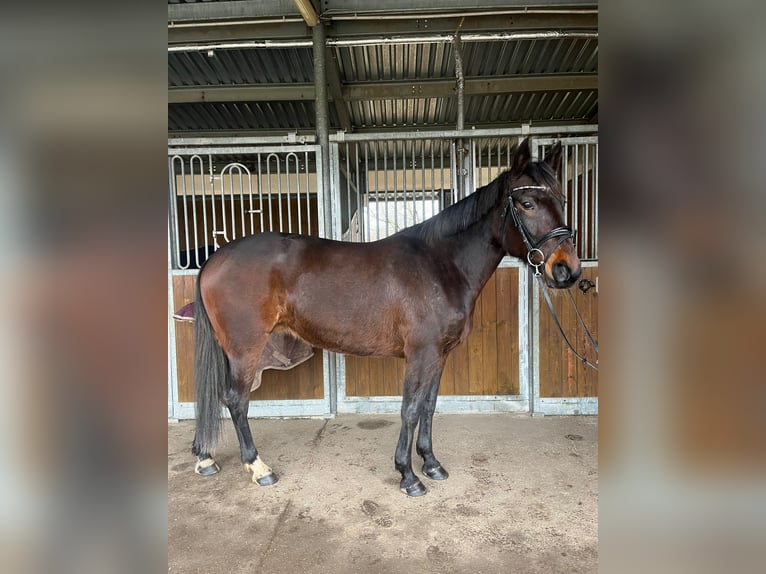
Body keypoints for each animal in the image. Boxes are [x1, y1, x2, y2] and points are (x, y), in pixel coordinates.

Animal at [192, 137, 584, 498]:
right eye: (527, 203)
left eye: (563, 200)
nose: (567, 270)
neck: (440, 265)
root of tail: (214, 259)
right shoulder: (420, 354)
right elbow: (409, 409)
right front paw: (408, 476)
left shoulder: (439, 355)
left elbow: (428, 406)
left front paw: (431, 464)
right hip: (246, 349)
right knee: (236, 400)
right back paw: (259, 468)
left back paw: (204, 457)